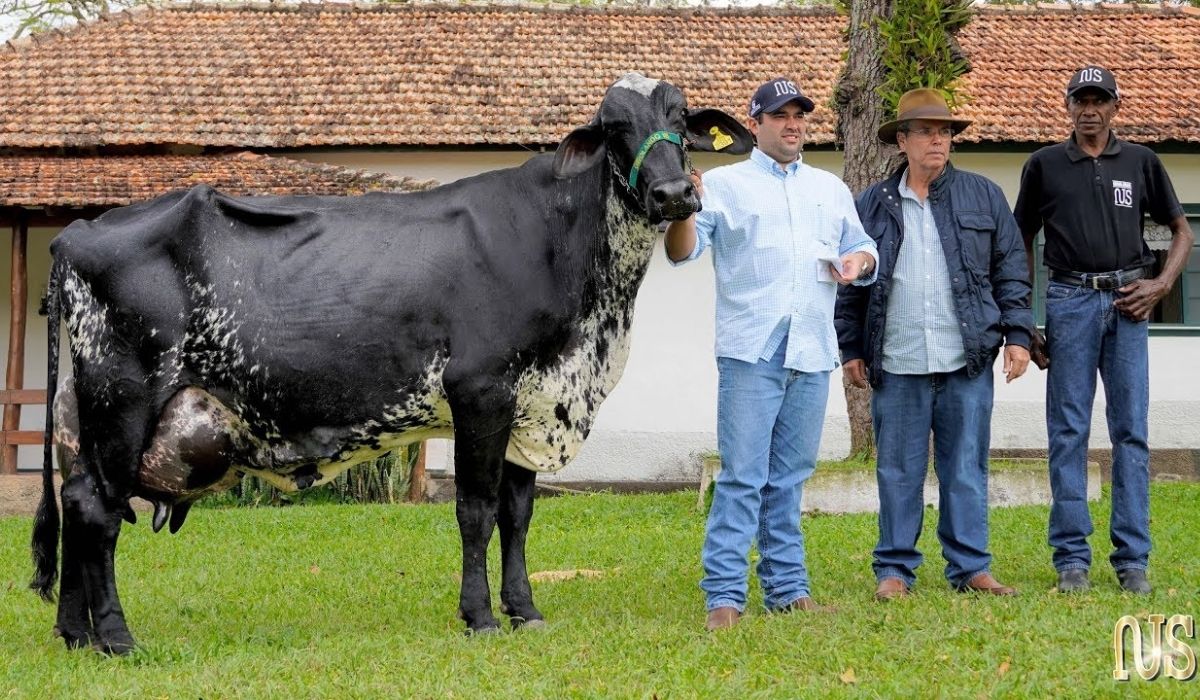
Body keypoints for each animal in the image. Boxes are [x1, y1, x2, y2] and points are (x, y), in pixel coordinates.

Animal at [29, 73, 753, 653]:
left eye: (680, 116)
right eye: (613, 128)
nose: (673, 193)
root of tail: (81, 230)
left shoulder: (534, 402)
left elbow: (519, 514)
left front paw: (525, 611)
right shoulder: (481, 390)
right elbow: (476, 510)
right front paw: (480, 617)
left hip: (83, 418)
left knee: (75, 502)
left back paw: (74, 634)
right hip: (123, 399)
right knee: (97, 512)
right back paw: (116, 638)